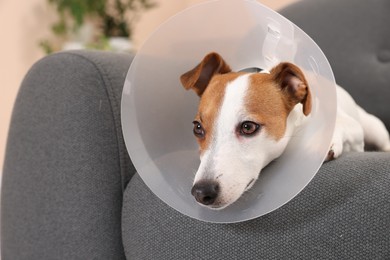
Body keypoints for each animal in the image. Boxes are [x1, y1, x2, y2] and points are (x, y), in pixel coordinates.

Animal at [181, 52, 390, 209]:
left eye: (248, 127)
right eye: (197, 128)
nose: (201, 192)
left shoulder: (355, 132)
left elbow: (341, 124)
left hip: (373, 126)